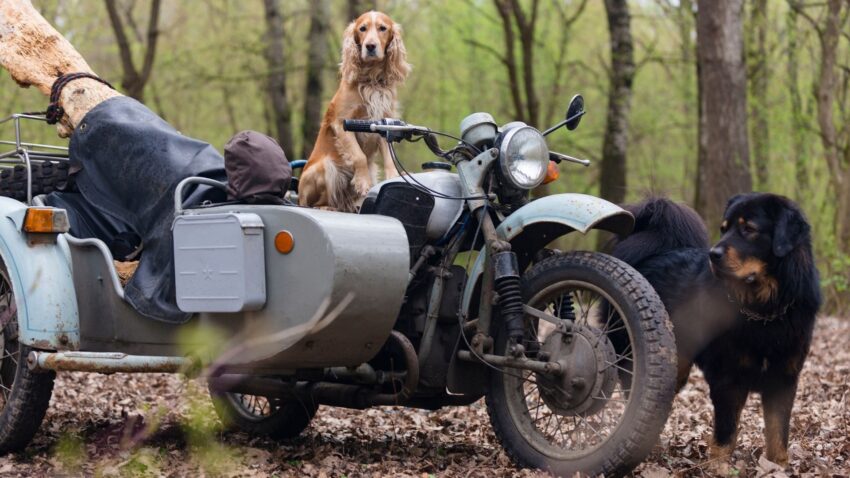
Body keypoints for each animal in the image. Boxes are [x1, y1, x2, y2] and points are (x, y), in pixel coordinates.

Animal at [612, 192, 820, 464]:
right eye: (724, 229)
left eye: (748, 229)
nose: (714, 254)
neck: (764, 310)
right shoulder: (728, 378)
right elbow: (725, 436)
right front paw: (719, 467)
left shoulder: (783, 379)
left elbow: (778, 438)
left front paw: (778, 467)